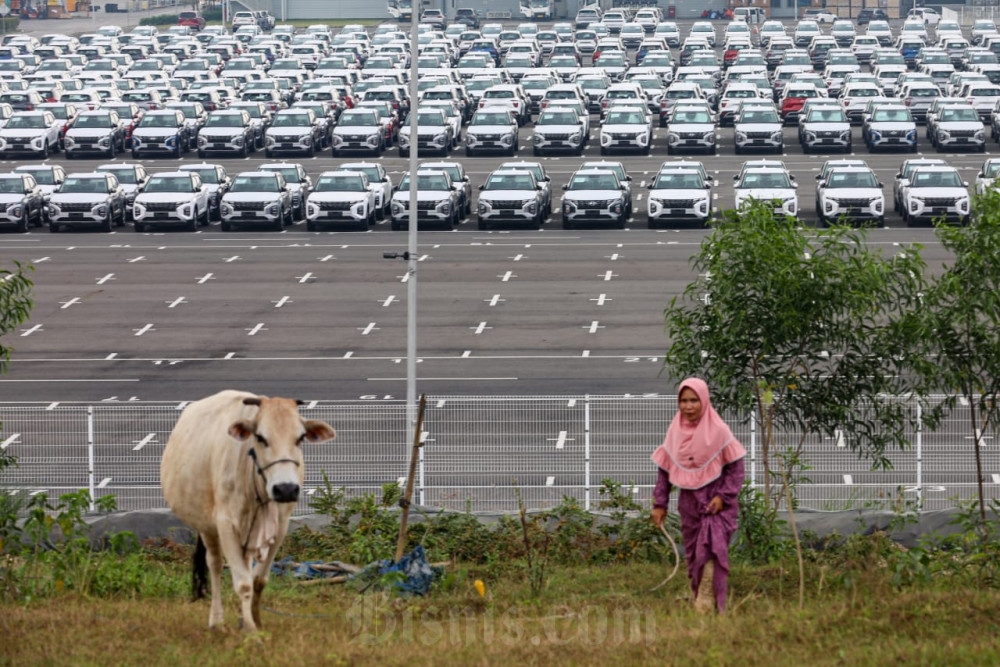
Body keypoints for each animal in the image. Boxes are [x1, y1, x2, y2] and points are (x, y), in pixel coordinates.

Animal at [160, 392, 336, 632]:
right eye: (261, 437)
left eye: (300, 438)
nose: (286, 489)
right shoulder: (225, 524)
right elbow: (243, 583)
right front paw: (251, 631)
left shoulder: (280, 526)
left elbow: (258, 579)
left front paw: (254, 620)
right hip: (207, 527)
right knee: (215, 565)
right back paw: (217, 622)